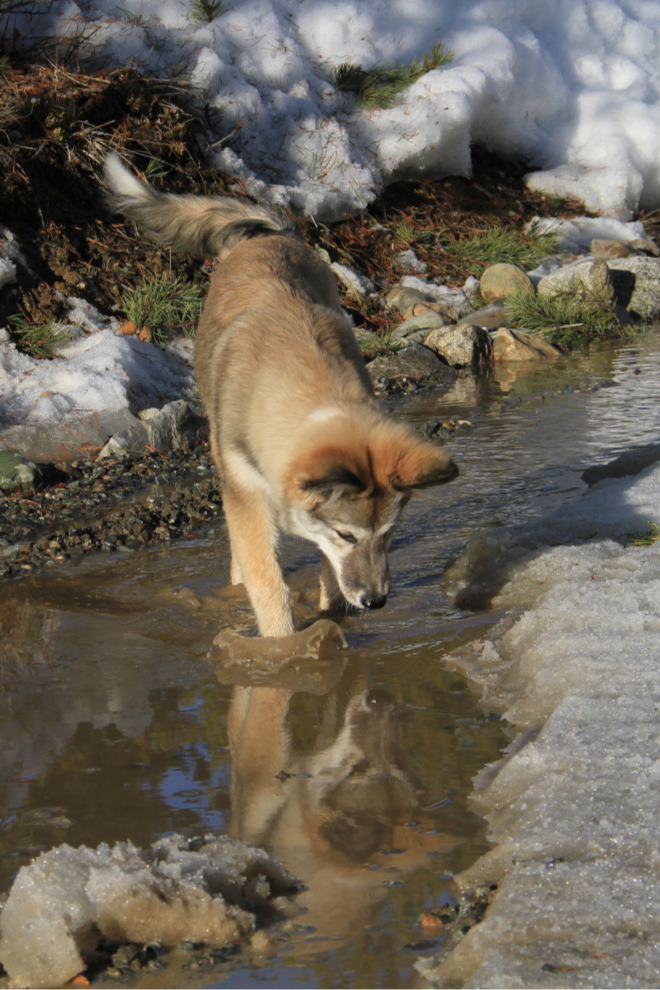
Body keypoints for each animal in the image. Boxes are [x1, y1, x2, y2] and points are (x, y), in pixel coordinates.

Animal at [103, 155, 458, 636]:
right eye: (348, 535)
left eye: (389, 533)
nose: (377, 601)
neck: (304, 385)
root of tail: (271, 233)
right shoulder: (248, 498)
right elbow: (269, 585)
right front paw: (283, 647)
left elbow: (329, 572)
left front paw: (333, 618)